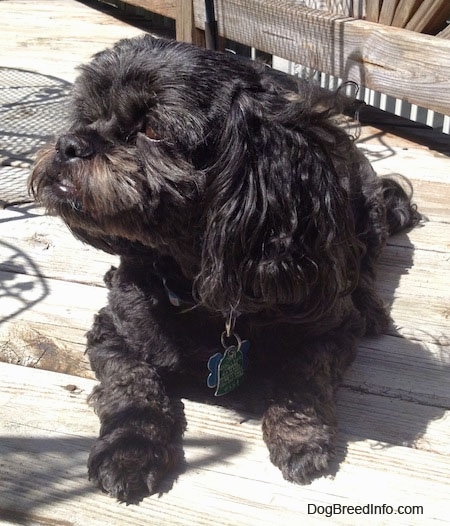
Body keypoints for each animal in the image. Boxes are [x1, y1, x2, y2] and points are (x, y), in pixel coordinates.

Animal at [29, 35, 420, 506]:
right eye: (87, 115)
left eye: (154, 129)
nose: (69, 144)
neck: (200, 288)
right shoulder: (112, 331)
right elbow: (132, 384)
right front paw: (130, 448)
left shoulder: (332, 329)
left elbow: (303, 376)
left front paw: (300, 435)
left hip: (365, 213)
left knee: (362, 264)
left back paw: (373, 307)